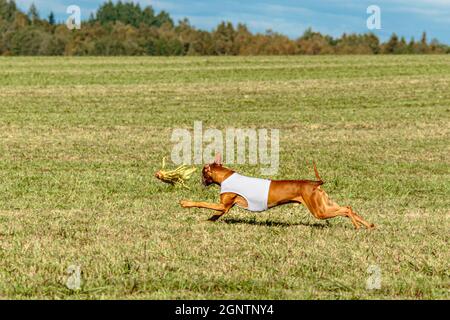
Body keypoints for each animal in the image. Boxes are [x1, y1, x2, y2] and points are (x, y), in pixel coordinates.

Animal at [179, 154, 372, 229]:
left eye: (203, 172)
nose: (201, 181)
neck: (226, 176)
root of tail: (314, 183)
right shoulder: (224, 208)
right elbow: (213, 215)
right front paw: (205, 222)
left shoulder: (223, 205)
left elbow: (201, 203)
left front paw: (185, 202)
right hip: (324, 204)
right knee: (348, 208)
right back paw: (368, 226)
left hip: (319, 210)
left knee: (346, 210)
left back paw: (358, 226)